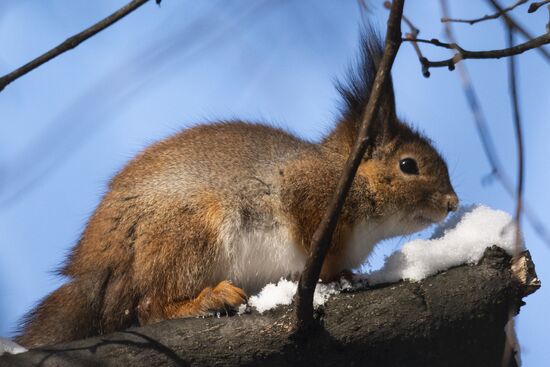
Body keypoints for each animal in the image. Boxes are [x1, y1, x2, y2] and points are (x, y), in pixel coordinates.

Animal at [16, 32, 458, 348]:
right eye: (408, 165)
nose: (453, 203)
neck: (348, 177)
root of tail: (100, 266)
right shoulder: (307, 191)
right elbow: (311, 235)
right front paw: (333, 273)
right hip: (188, 232)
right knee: (150, 305)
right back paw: (207, 300)